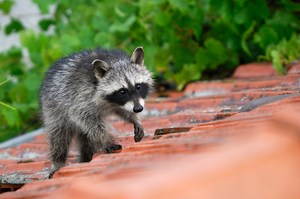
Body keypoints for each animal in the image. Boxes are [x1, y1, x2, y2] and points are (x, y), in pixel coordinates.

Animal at [39, 46, 152, 176]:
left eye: (138, 86)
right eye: (122, 91)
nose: (138, 109)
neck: (114, 61)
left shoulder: (119, 104)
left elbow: (123, 111)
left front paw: (135, 119)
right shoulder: (79, 96)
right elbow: (88, 120)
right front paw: (105, 138)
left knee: (86, 140)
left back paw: (86, 156)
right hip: (54, 108)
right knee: (59, 136)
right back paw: (58, 161)